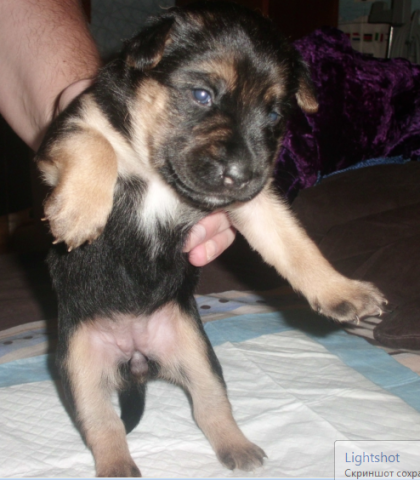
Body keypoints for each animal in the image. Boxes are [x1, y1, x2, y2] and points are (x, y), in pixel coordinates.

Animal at [36, 2, 387, 477]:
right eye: (202, 95)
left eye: (274, 115)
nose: (242, 175)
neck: (156, 171)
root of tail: (136, 358)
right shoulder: (69, 130)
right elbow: (97, 145)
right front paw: (77, 212)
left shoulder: (253, 204)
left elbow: (294, 244)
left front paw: (342, 292)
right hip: (78, 367)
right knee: (102, 425)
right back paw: (118, 467)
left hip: (197, 352)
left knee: (210, 406)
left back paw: (239, 448)